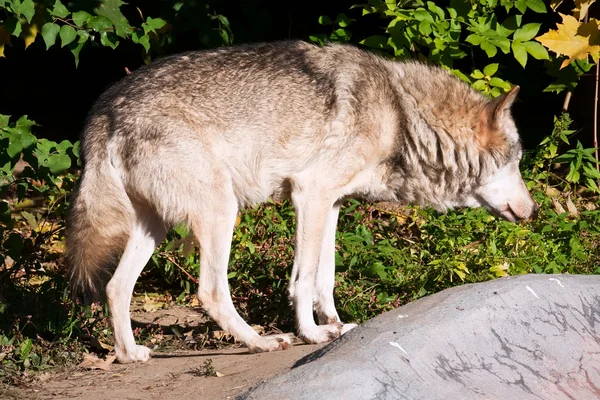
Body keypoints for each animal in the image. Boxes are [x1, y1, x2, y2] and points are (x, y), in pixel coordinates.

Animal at [65, 39, 540, 362]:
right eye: (517, 160)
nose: (534, 211)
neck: (402, 115)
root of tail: (104, 109)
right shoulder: (310, 193)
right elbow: (304, 279)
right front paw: (311, 335)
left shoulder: (331, 204)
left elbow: (325, 279)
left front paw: (337, 326)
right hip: (221, 212)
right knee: (211, 291)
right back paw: (261, 341)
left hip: (155, 226)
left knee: (115, 287)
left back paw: (129, 355)